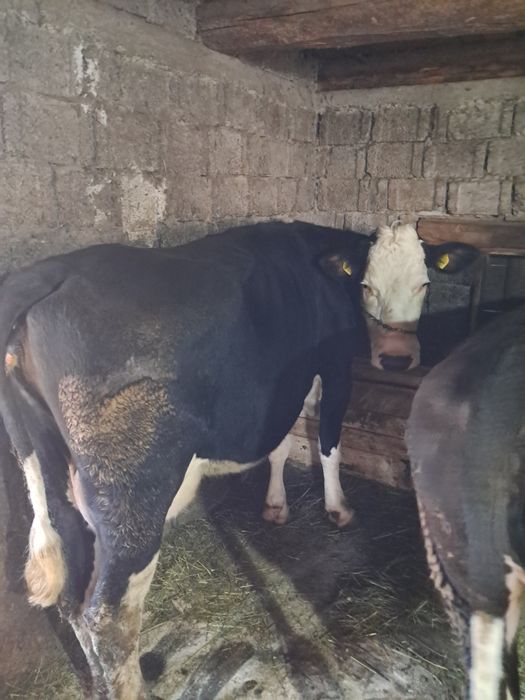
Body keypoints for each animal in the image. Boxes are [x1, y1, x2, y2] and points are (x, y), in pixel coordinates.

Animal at [0, 220, 476, 698]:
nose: (397, 358)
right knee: (107, 618)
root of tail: (47, 274)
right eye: (366, 285)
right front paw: (338, 509)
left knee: (72, 597)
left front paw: (275, 505)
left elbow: (281, 445)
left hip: (51, 476)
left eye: (424, 283)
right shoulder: (334, 364)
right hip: (131, 497)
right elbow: (328, 442)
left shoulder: (285, 384)